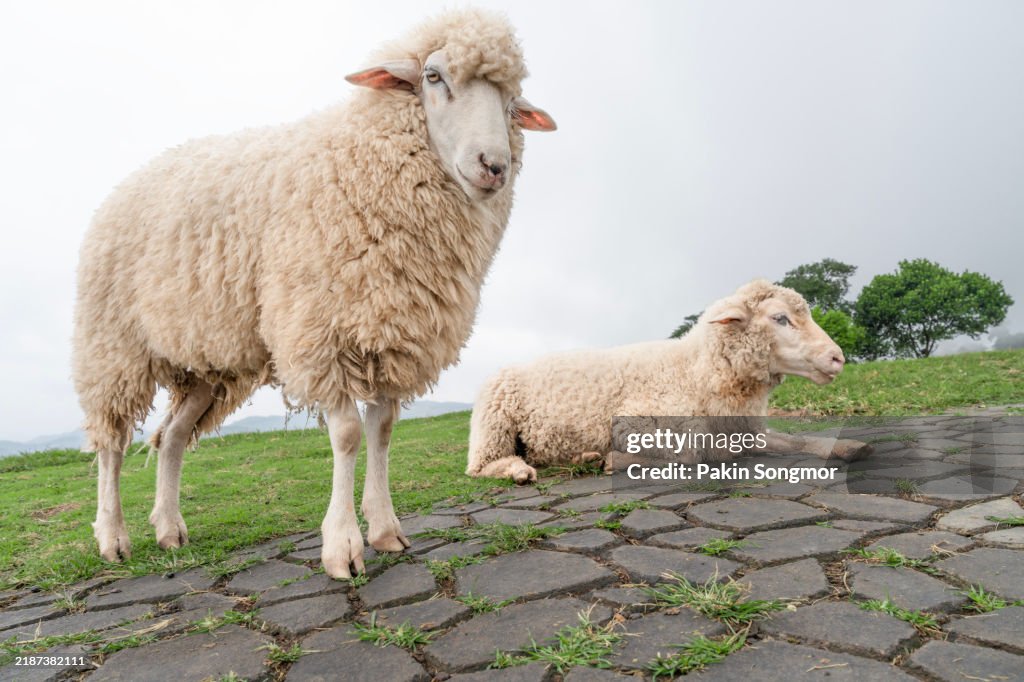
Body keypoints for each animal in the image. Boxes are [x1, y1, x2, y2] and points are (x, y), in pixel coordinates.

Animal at [72, 9, 556, 579]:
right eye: (433, 77)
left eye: (512, 102)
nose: (493, 166)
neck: (359, 160)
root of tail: (126, 183)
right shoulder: (322, 331)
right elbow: (347, 435)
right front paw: (342, 545)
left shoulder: (394, 328)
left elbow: (382, 431)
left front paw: (386, 530)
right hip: (113, 347)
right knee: (112, 443)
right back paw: (112, 537)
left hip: (205, 366)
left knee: (170, 438)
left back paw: (170, 530)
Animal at [466, 280, 872, 483]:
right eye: (780, 318)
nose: (837, 357)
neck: (695, 371)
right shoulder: (637, 421)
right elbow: (688, 455)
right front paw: (616, 460)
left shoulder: (743, 430)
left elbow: (798, 440)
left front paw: (848, 446)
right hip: (493, 426)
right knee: (481, 467)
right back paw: (520, 471)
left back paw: (583, 456)